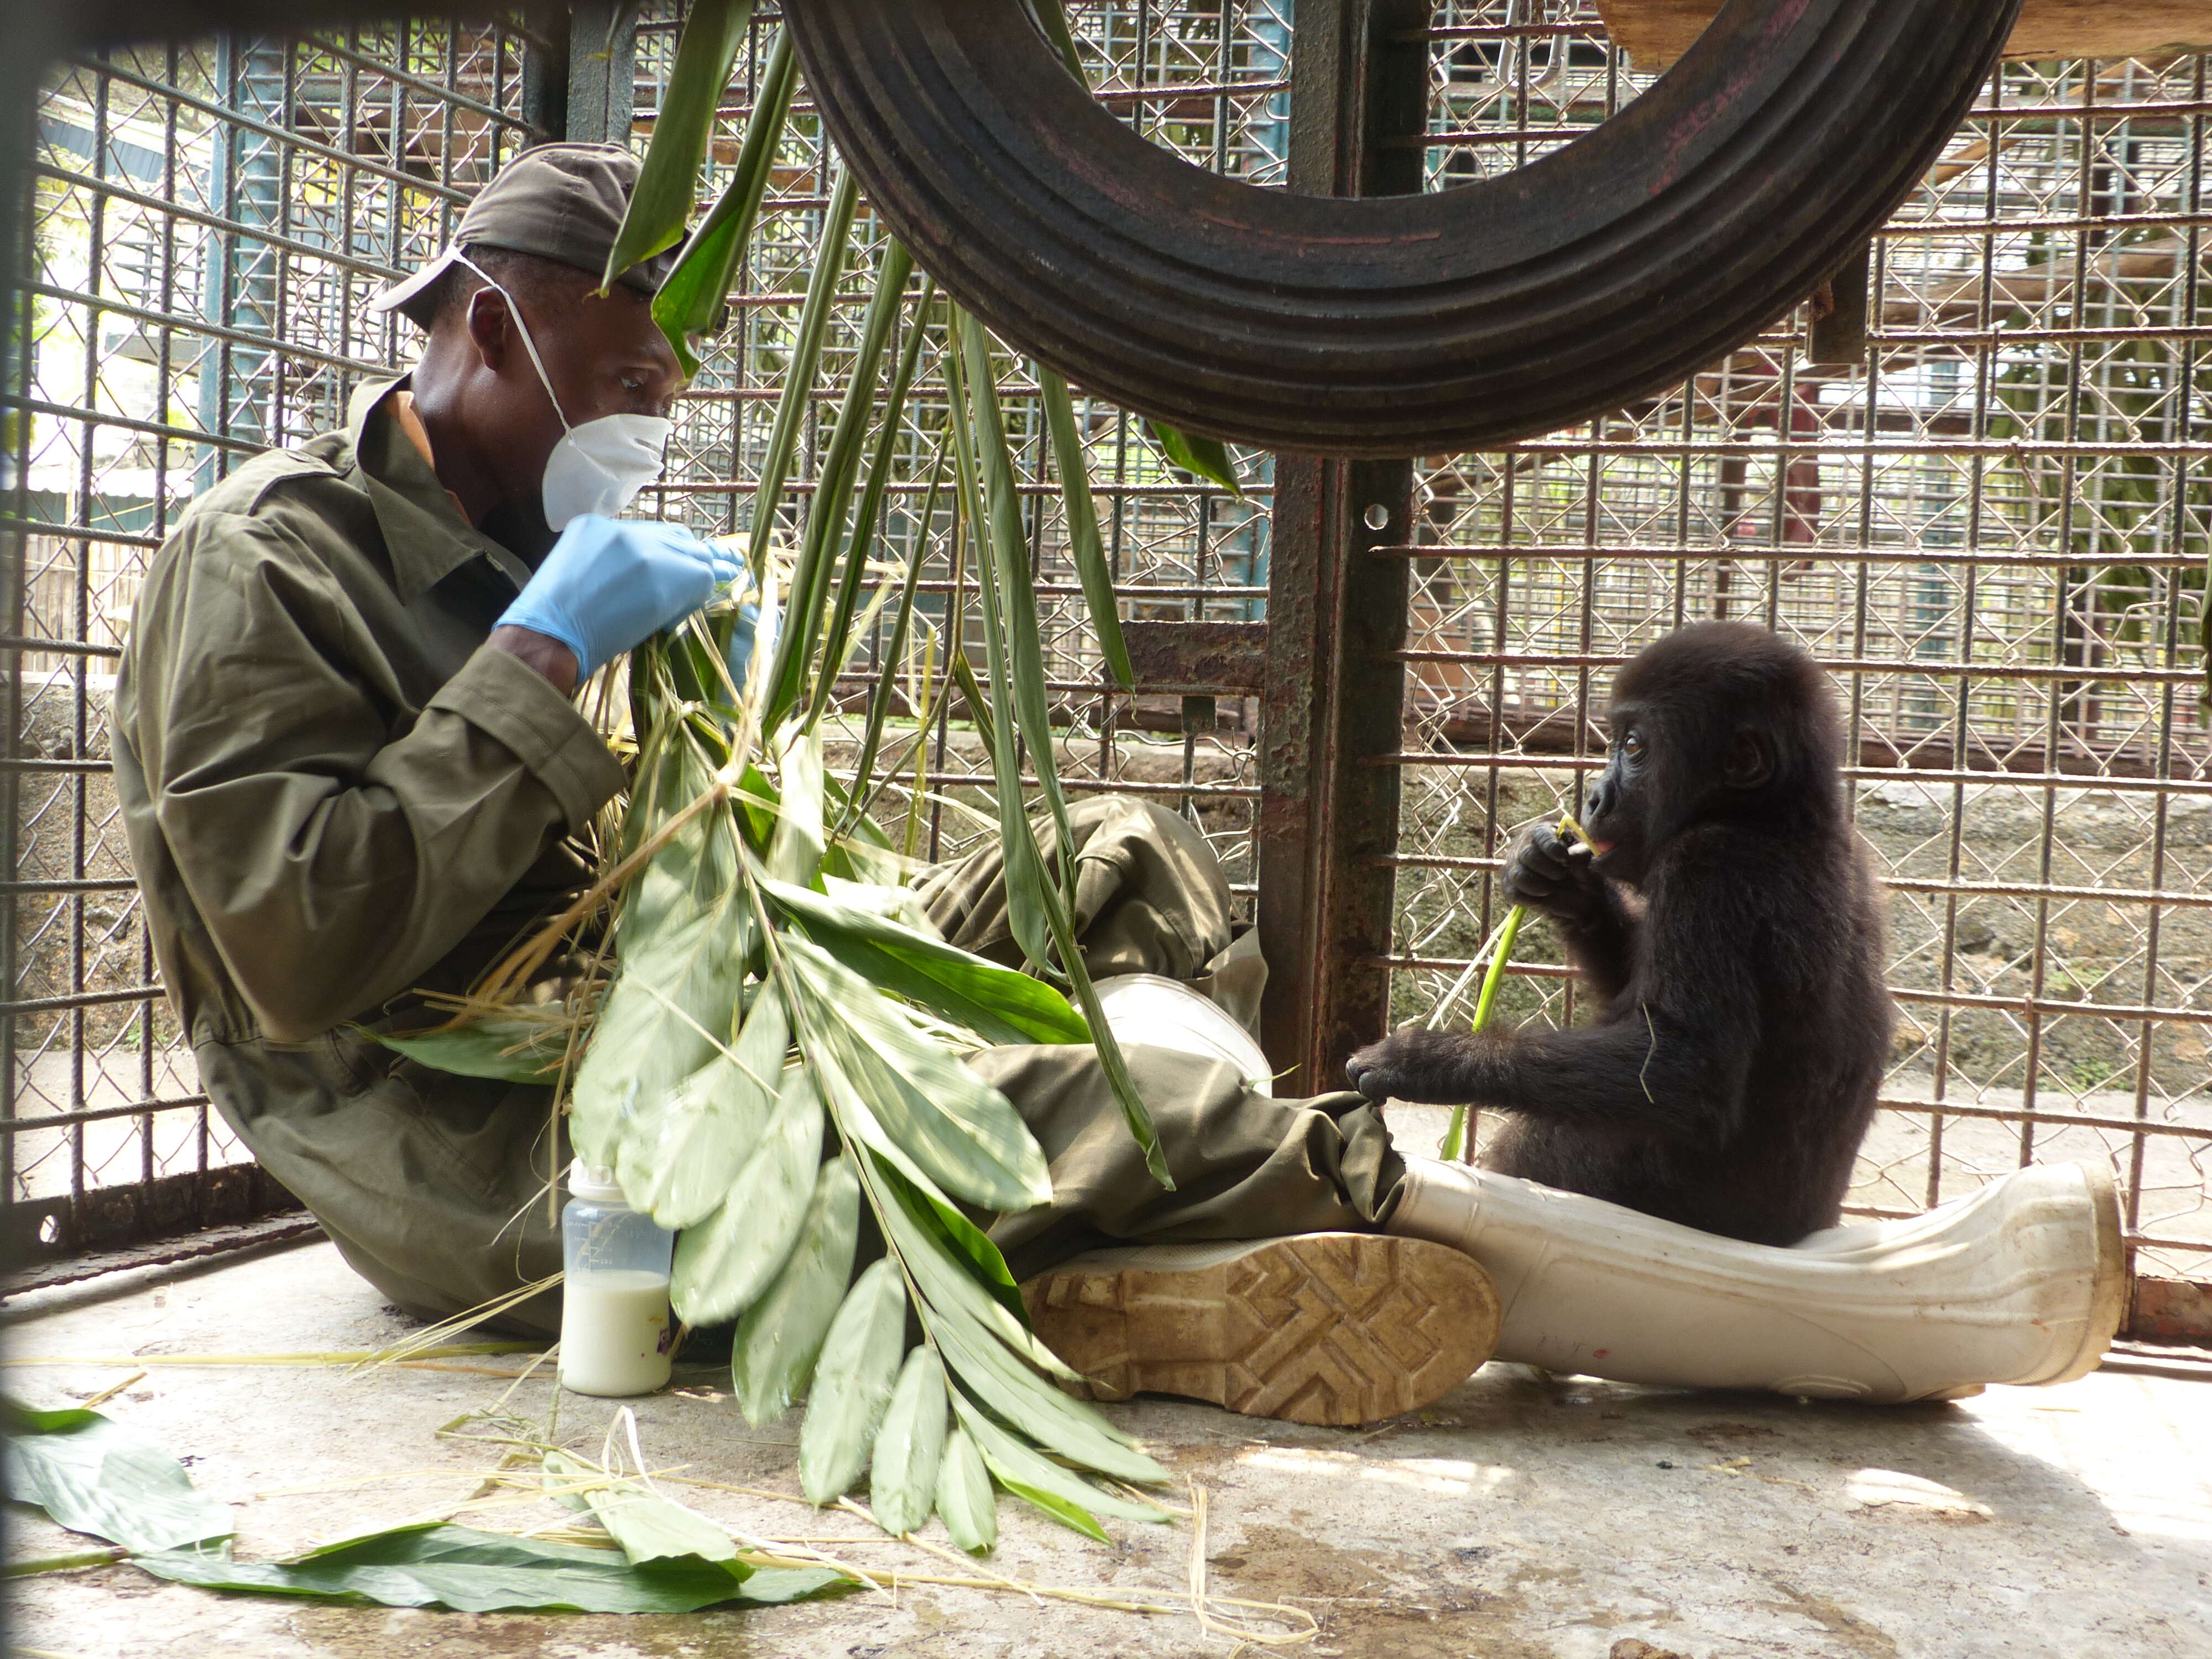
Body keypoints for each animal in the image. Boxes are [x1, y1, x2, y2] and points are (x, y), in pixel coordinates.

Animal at [1336, 624, 1893, 1248]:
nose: (1594, 798)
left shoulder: (1705, 868)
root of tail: (1809, 1232)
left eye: (1633, 747)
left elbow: (1681, 1068)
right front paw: (1563, 885)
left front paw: (1430, 1058)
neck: (1775, 815)